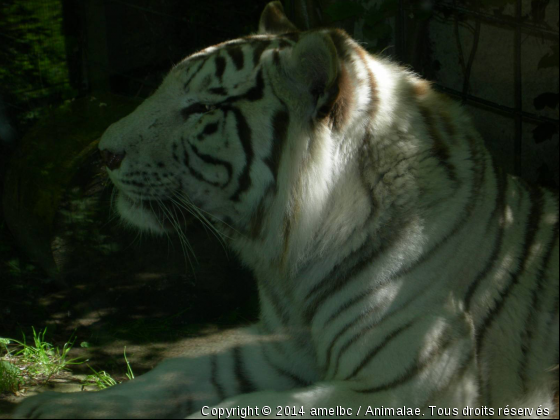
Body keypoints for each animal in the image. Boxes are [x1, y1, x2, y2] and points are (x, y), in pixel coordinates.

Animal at [15, 1, 556, 418]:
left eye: (202, 110)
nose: (104, 152)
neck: (292, 262)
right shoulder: (282, 350)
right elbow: (176, 371)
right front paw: (55, 406)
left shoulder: (405, 387)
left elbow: (236, 408)